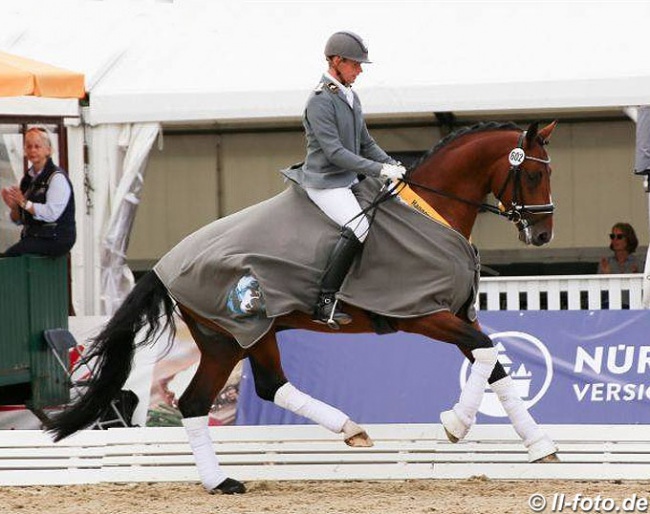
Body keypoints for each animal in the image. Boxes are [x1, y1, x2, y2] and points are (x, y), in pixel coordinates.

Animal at [48, 119, 560, 492]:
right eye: (535, 173)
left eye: (548, 173)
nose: (542, 235)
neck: (430, 212)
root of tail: (165, 264)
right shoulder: (422, 315)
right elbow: (486, 352)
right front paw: (455, 424)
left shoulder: (454, 316)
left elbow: (492, 362)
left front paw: (540, 445)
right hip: (231, 335)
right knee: (215, 397)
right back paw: (237, 475)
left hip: (245, 336)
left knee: (251, 389)